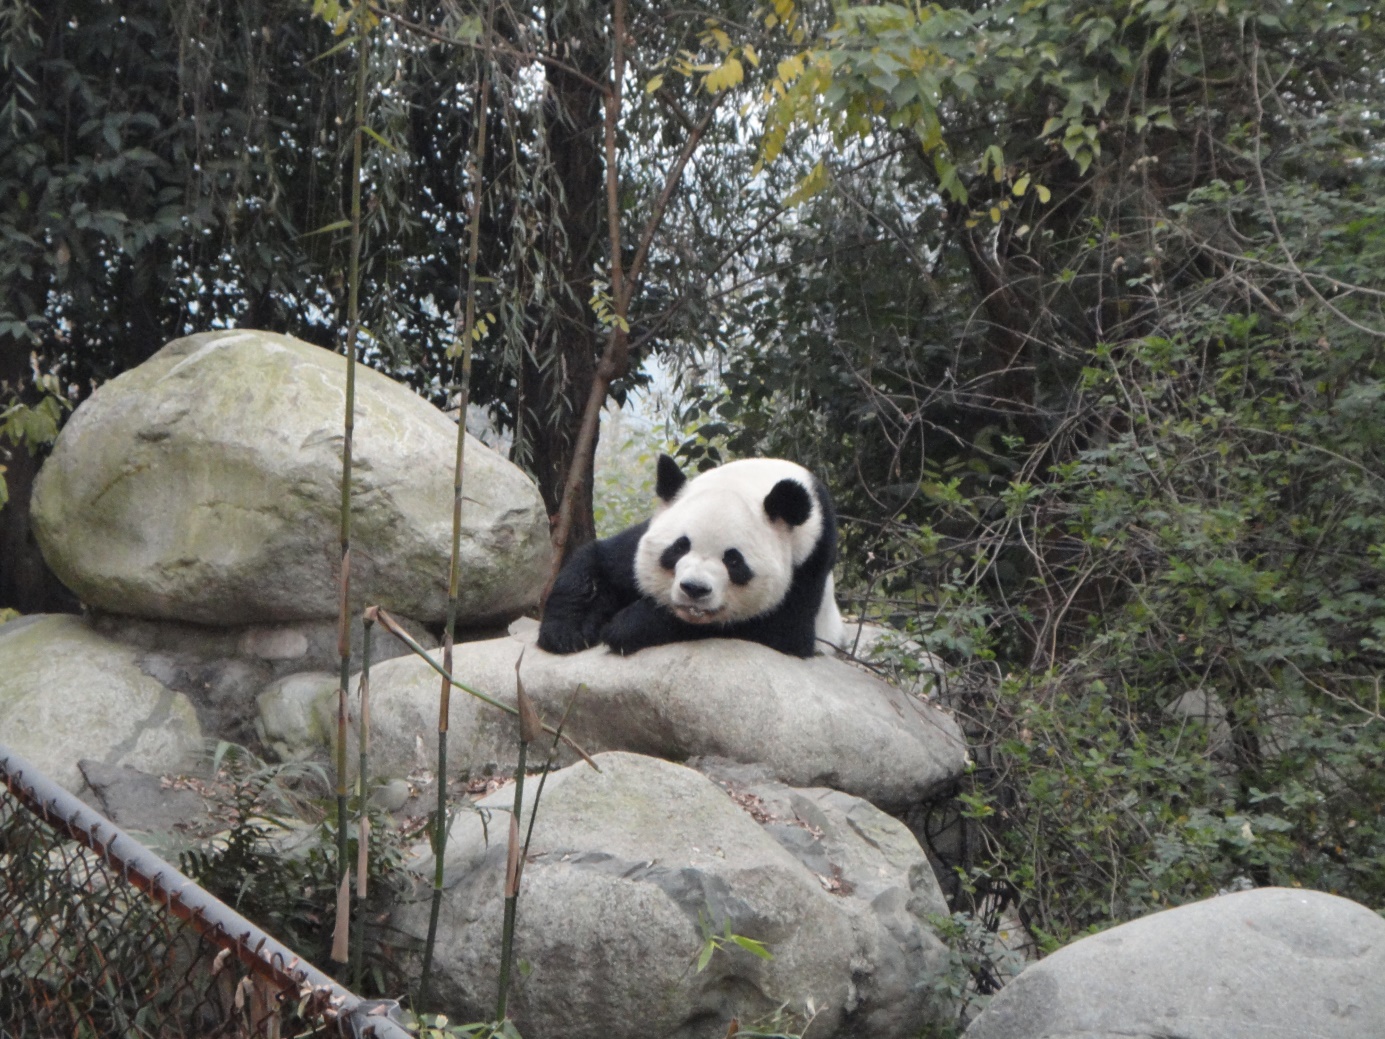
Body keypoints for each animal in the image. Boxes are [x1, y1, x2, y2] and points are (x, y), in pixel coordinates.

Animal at [538, 455, 844, 658]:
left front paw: (625, 627)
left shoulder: (808, 564)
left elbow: (775, 630)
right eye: (679, 548)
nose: (694, 589)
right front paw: (568, 631)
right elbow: (599, 561)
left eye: (733, 561)